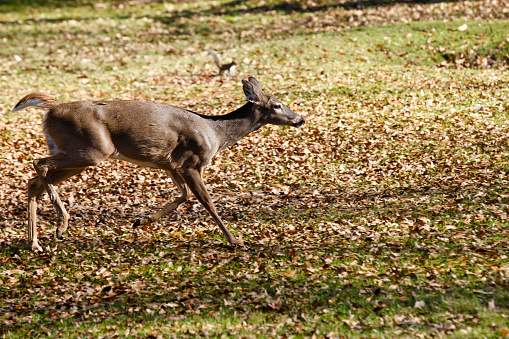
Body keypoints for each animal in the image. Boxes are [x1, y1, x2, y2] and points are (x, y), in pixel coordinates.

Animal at [11, 77, 304, 252]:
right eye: (277, 105)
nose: (299, 119)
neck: (216, 133)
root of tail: (51, 109)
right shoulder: (192, 162)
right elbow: (207, 201)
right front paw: (234, 241)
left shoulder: (170, 164)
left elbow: (183, 196)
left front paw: (141, 220)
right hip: (91, 150)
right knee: (38, 163)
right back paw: (61, 223)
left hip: (77, 156)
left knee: (34, 181)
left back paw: (34, 243)